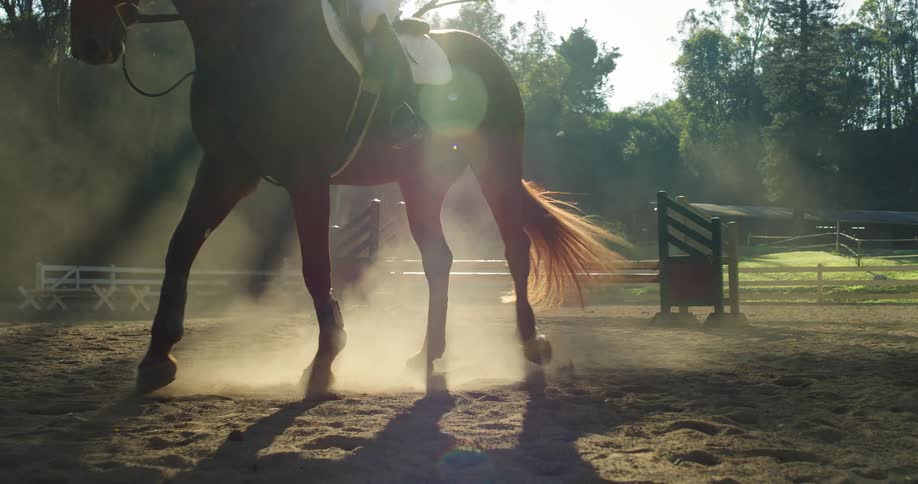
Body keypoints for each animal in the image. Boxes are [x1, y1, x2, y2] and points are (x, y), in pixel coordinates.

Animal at [69, 0, 622, 398]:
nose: (89, 44)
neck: (250, 41)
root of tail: (485, 52)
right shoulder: (227, 169)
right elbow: (180, 247)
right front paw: (157, 357)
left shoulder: (306, 178)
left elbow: (317, 267)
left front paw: (324, 360)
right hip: (420, 183)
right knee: (438, 259)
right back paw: (428, 354)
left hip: (496, 168)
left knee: (515, 249)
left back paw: (530, 343)